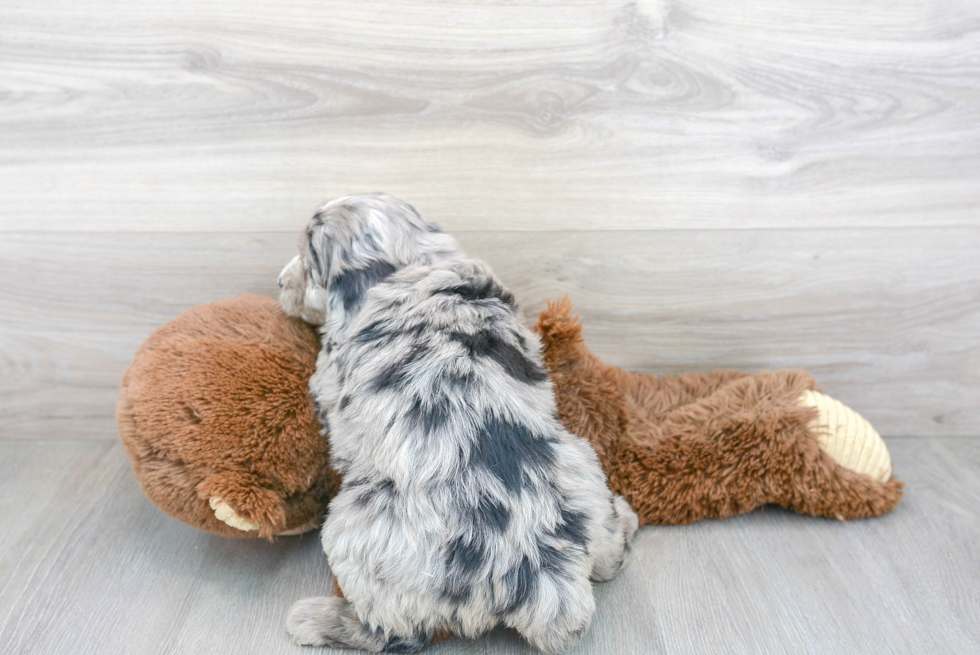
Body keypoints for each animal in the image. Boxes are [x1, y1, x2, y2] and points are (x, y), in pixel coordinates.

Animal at [280, 195, 640, 655]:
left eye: (310, 264)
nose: (278, 282)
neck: (413, 261)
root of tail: (542, 572)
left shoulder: (329, 379)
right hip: (584, 462)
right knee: (609, 557)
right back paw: (625, 518)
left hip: (355, 529)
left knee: (396, 634)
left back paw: (315, 619)